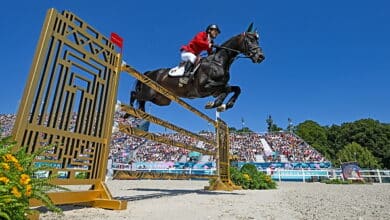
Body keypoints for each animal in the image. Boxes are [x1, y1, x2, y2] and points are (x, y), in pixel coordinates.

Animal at [129, 24, 264, 112]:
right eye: (250, 40)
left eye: (257, 41)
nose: (261, 57)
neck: (219, 62)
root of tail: (149, 73)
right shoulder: (204, 87)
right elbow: (226, 88)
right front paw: (215, 104)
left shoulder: (215, 89)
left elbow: (236, 89)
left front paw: (225, 105)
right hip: (149, 92)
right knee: (134, 94)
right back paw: (128, 112)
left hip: (161, 100)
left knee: (141, 100)